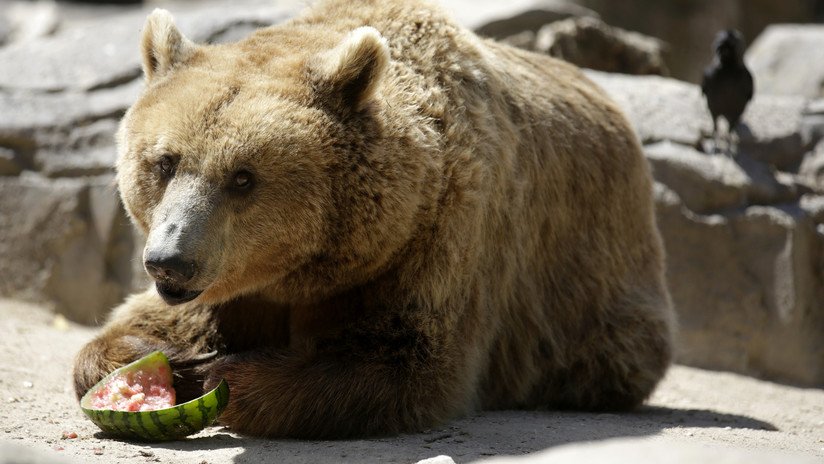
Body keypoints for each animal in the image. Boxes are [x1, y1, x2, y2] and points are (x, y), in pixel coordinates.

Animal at [73, 0, 675, 439]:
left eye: (242, 177)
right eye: (165, 161)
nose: (168, 260)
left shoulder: (438, 239)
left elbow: (402, 362)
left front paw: (223, 375)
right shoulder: (234, 286)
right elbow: (140, 327)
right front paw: (153, 355)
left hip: (598, 284)